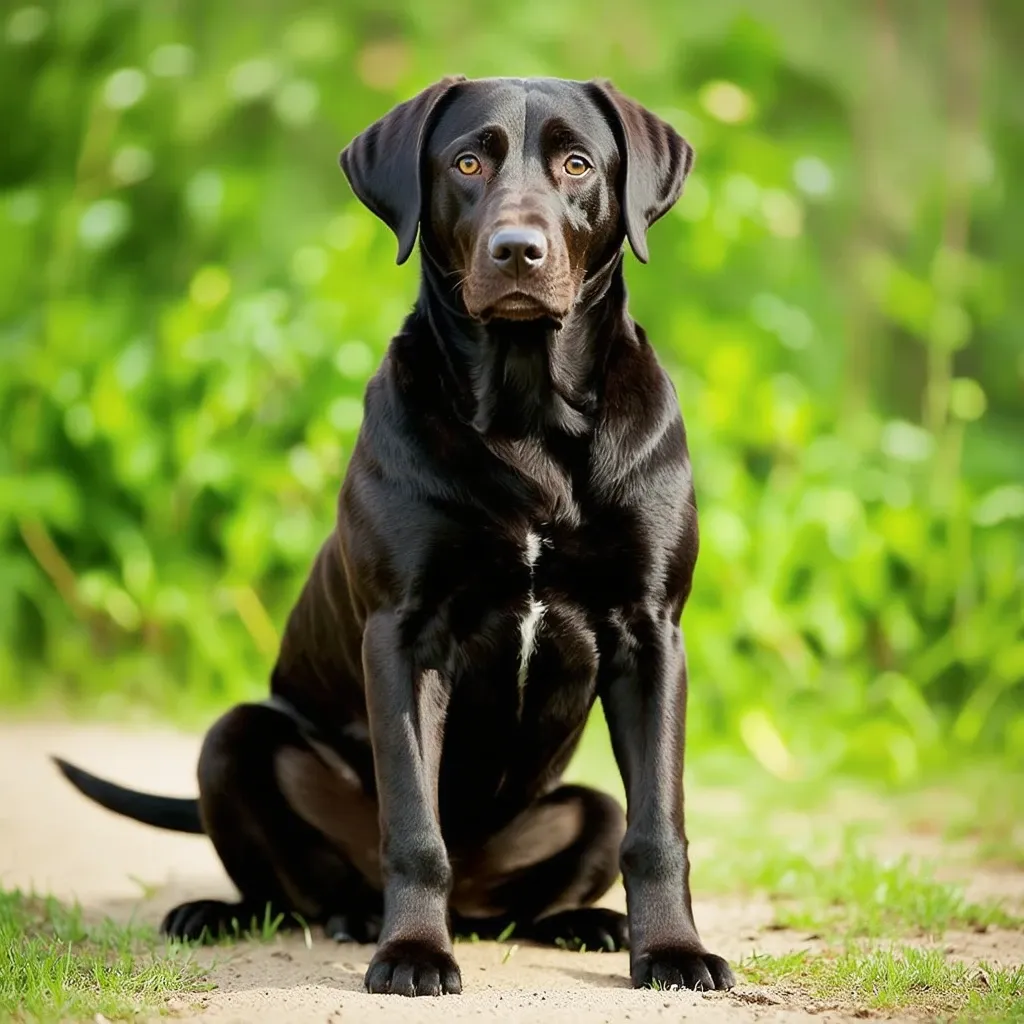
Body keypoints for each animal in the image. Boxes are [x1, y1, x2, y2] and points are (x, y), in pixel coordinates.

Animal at [51, 77, 737, 999]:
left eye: (578, 164)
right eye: (468, 163)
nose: (517, 250)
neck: (526, 412)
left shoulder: (650, 631)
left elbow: (658, 827)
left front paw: (671, 952)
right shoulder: (407, 634)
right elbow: (414, 827)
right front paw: (413, 951)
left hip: (578, 810)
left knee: (552, 871)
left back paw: (584, 924)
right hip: (233, 741)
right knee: (296, 888)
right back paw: (256, 916)